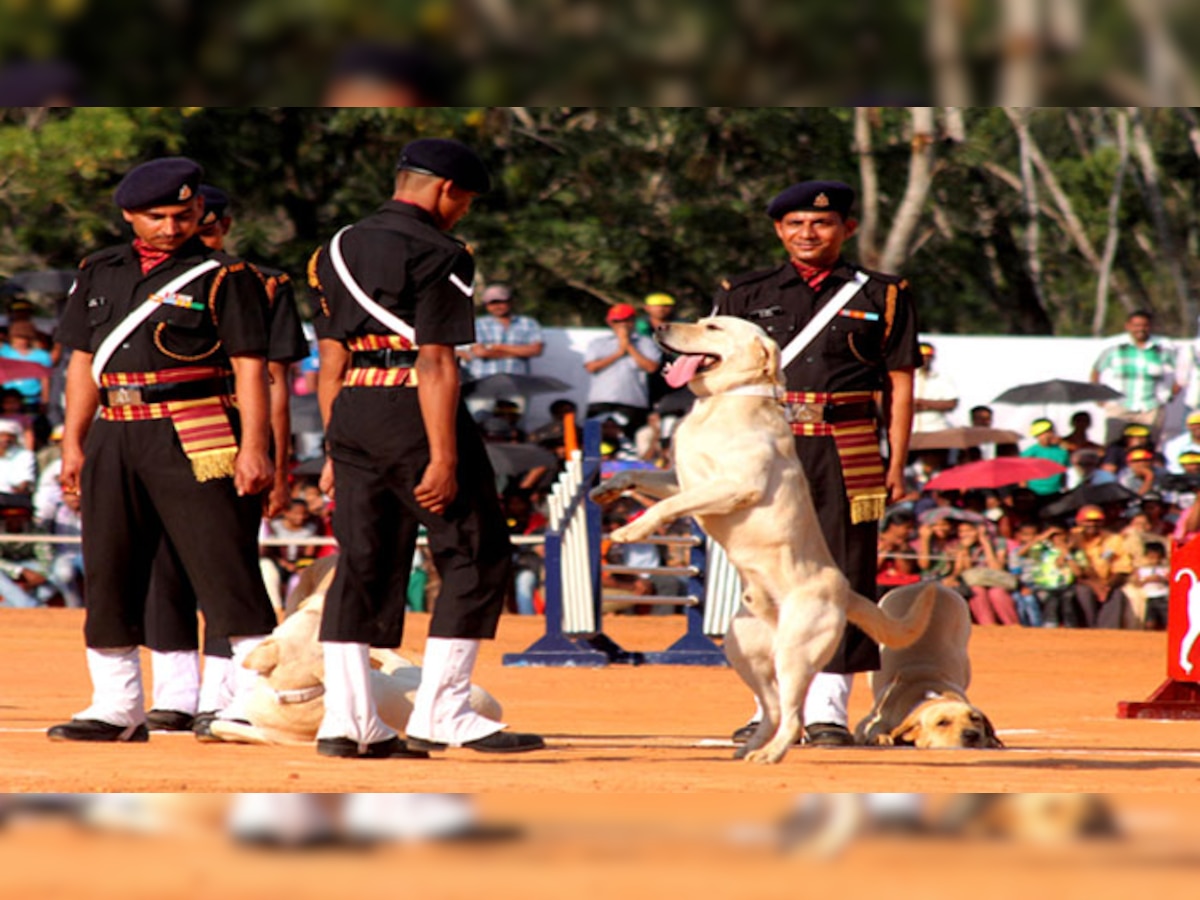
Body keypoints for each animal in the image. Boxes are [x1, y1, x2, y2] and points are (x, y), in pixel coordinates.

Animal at [590, 314, 936, 763]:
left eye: (713, 327)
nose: (660, 326)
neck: (722, 401)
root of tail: (845, 592)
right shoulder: (684, 479)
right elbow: (641, 477)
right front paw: (607, 488)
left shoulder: (734, 486)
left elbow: (666, 506)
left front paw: (632, 528)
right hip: (742, 651)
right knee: (771, 709)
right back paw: (749, 748)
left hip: (794, 651)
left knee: (793, 715)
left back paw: (771, 754)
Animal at [854, 580, 1003, 748]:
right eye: (942, 723)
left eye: (975, 718)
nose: (972, 734)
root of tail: (926, 582)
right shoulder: (868, 720)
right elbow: (873, 727)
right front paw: (880, 737)